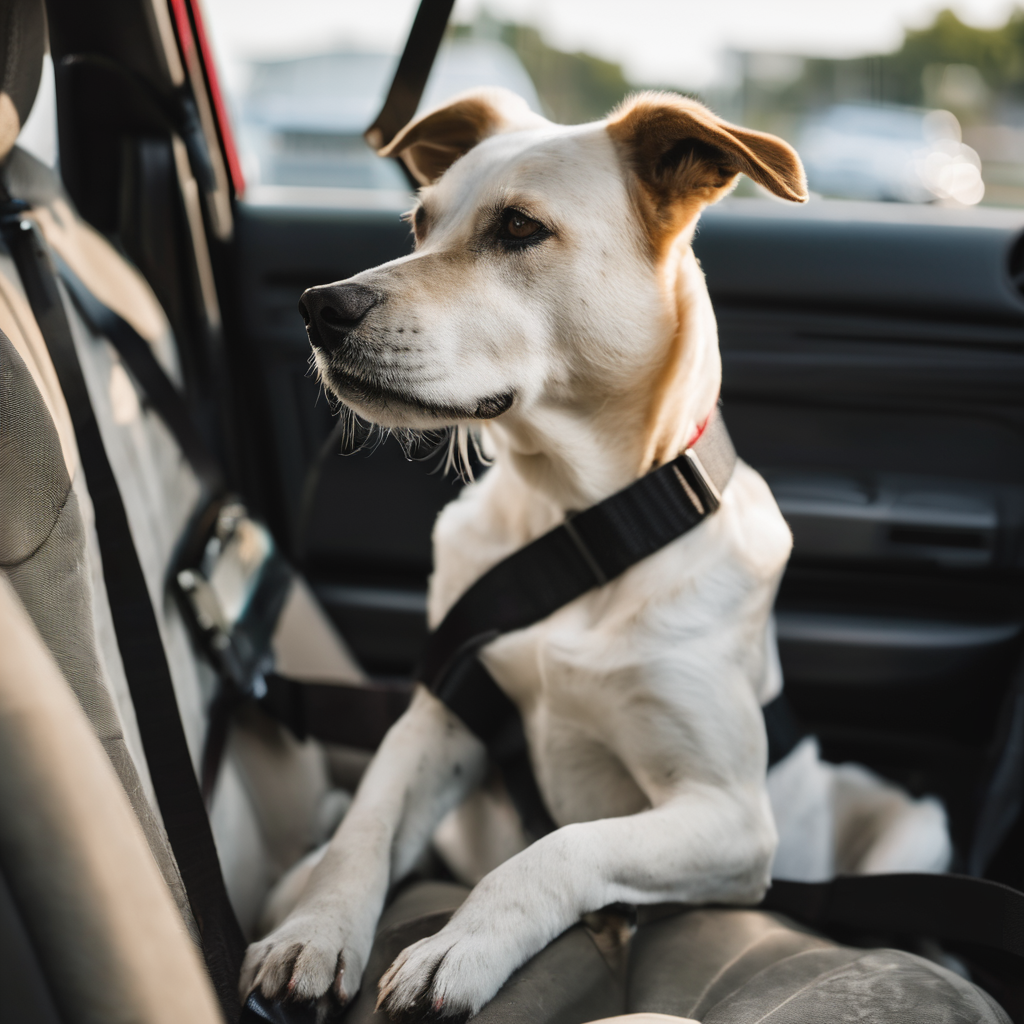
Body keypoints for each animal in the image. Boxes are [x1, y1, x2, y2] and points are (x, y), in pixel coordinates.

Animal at [239, 90, 950, 1024]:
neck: (580, 521)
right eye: (421, 222)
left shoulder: (729, 816)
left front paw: (463, 944)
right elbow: (362, 828)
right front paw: (312, 934)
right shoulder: (442, 714)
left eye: (518, 227)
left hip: (917, 824)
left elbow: (562, 845)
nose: (321, 307)